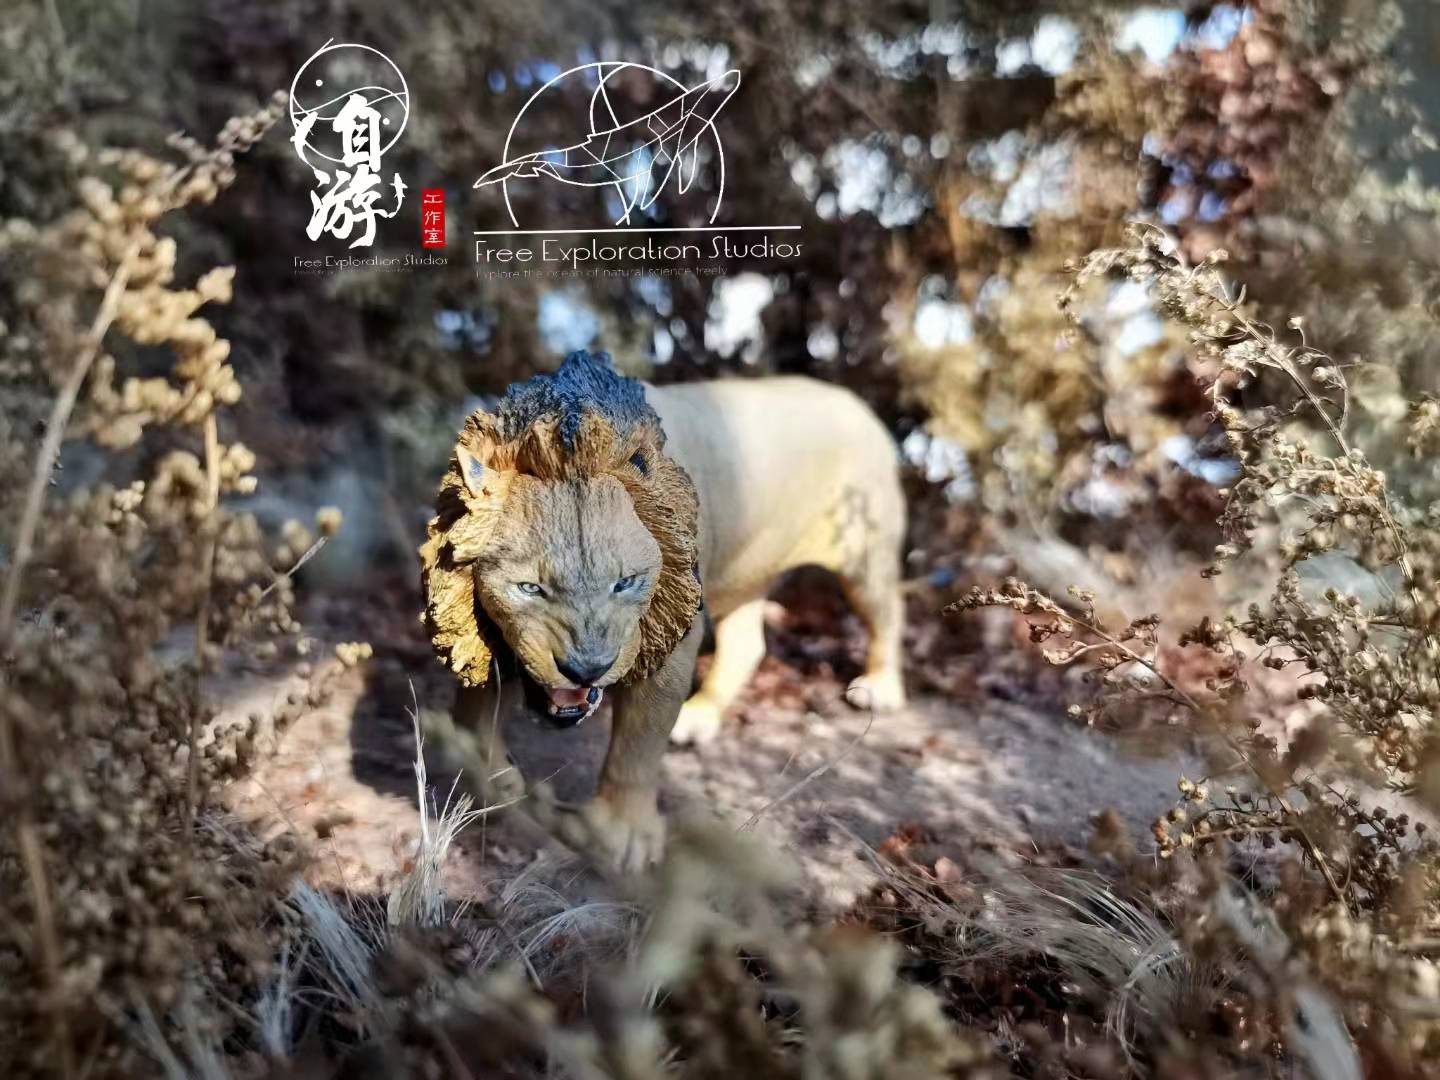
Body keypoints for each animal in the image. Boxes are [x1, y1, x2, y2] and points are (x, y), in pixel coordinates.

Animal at [419, 350, 906, 871]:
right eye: (530, 588)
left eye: (626, 582)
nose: (587, 668)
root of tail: (858, 405)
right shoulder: (479, 626)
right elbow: (478, 703)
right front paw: (478, 771)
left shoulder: (671, 639)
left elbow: (637, 745)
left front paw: (619, 834)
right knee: (748, 644)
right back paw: (700, 718)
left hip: (863, 553)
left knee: (888, 612)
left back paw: (878, 689)